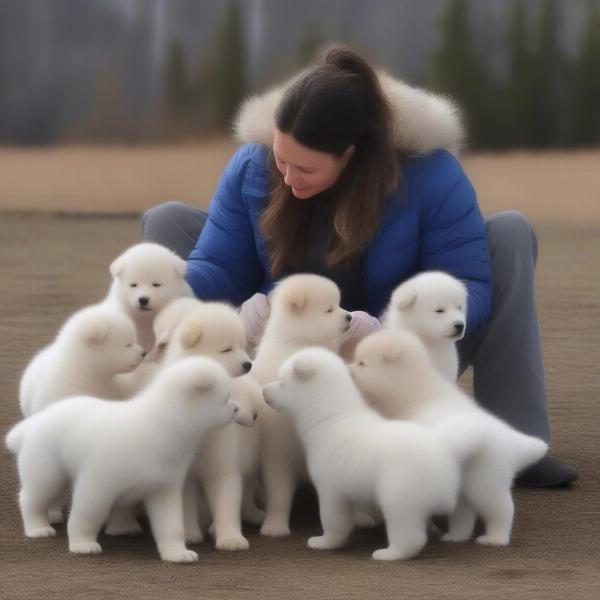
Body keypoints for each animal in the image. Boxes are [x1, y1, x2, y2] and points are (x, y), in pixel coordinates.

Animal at [6, 356, 239, 564]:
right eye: (225, 399)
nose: (237, 408)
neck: (161, 426)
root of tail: (32, 424)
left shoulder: (164, 488)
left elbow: (171, 524)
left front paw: (177, 553)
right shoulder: (97, 484)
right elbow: (87, 514)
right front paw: (82, 544)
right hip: (47, 472)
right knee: (30, 498)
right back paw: (37, 528)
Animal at [248, 274, 352, 536]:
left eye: (339, 304)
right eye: (328, 309)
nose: (350, 316)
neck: (299, 345)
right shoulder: (277, 450)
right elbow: (279, 493)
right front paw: (275, 525)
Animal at [264, 350, 480, 560]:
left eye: (282, 383)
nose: (264, 390)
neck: (331, 418)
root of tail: (444, 451)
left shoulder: (330, 490)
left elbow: (333, 521)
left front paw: (324, 543)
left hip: (400, 498)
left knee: (410, 536)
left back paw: (389, 554)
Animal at [352, 330, 548, 548]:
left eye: (362, 363)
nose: (348, 369)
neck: (414, 393)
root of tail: (511, 442)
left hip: (485, 479)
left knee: (501, 507)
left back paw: (495, 538)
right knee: (465, 512)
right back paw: (456, 536)